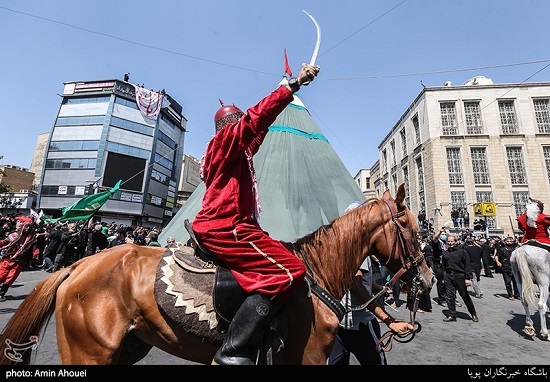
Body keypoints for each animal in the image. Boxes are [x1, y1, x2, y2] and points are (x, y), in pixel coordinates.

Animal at [1, 184, 436, 366]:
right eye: (411, 228)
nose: (428, 279)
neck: (318, 276)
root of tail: (79, 265)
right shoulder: (309, 356)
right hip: (88, 351)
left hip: (129, 347)